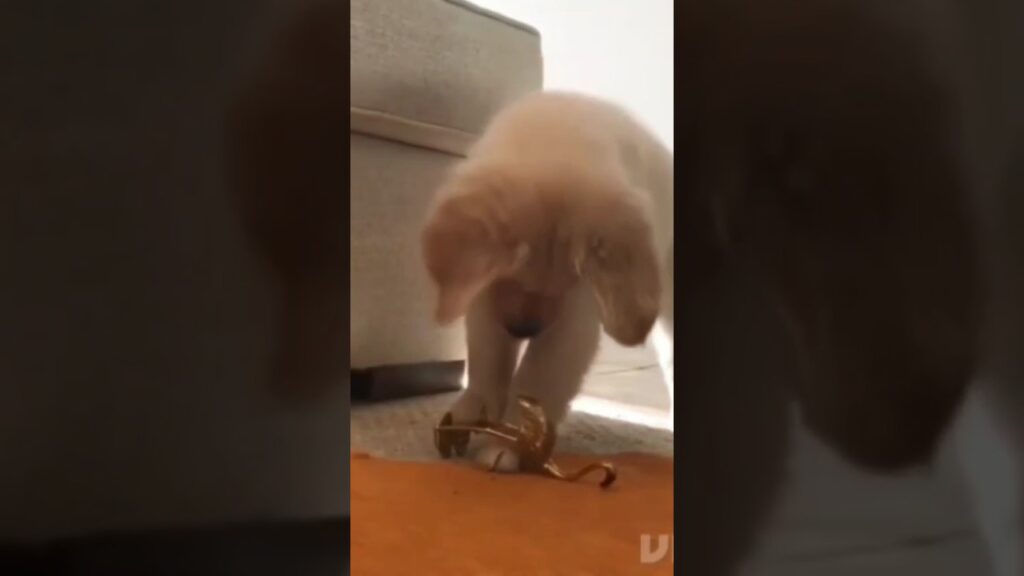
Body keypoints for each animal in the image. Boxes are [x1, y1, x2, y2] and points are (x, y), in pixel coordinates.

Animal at [421, 89, 671, 467]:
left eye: (569, 280)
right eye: (510, 273)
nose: (523, 330)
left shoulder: (575, 318)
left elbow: (536, 377)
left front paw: (511, 444)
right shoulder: (483, 295)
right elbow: (486, 359)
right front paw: (472, 410)